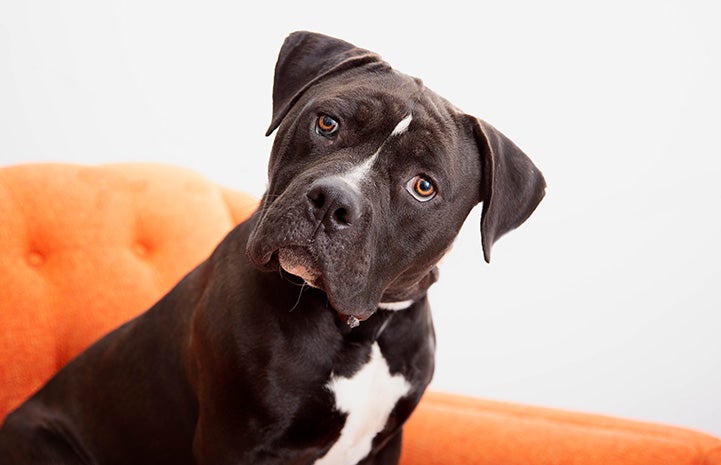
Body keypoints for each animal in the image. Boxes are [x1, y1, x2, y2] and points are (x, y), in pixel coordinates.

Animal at [0, 30, 544, 462]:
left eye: (423, 186)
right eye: (327, 123)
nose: (332, 202)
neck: (358, 333)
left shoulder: (386, 446)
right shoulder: (236, 443)